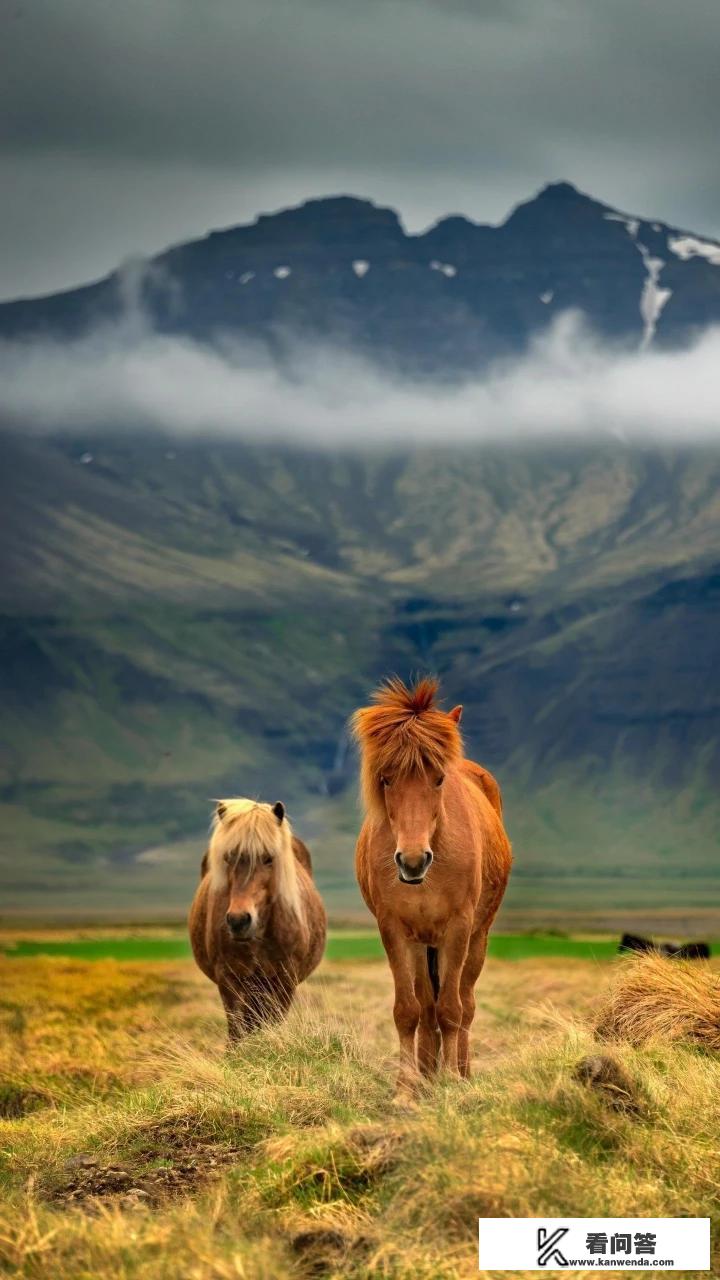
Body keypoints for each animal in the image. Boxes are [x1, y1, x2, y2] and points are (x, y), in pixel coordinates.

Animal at [189, 798, 326, 1039]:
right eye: (228, 857)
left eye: (268, 858)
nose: (238, 920)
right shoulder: (229, 979)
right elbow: (237, 1031)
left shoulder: (284, 981)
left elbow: (272, 1023)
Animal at [348, 680, 507, 1090]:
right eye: (385, 779)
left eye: (438, 779)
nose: (413, 860)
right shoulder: (394, 929)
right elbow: (410, 1010)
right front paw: (407, 1087)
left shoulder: (458, 928)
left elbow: (451, 1009)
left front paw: (451, 1080)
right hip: (423, 945)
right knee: (427, 1005)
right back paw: (426, 1073)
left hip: (477, 938)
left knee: (464, 1004)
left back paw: (461, 1073)